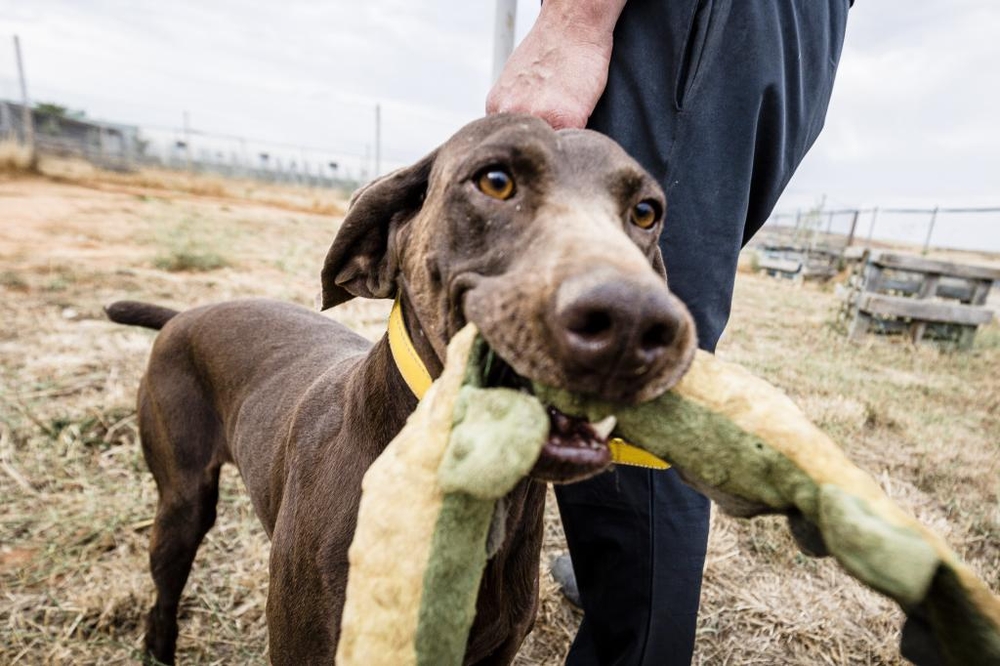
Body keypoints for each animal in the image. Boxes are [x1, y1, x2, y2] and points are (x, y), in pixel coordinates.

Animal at [105, 115, 692, 664]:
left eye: (645, 212)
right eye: (496, 181)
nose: (634, 323)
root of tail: (183, 316)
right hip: (183, 505)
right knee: (162, 601)